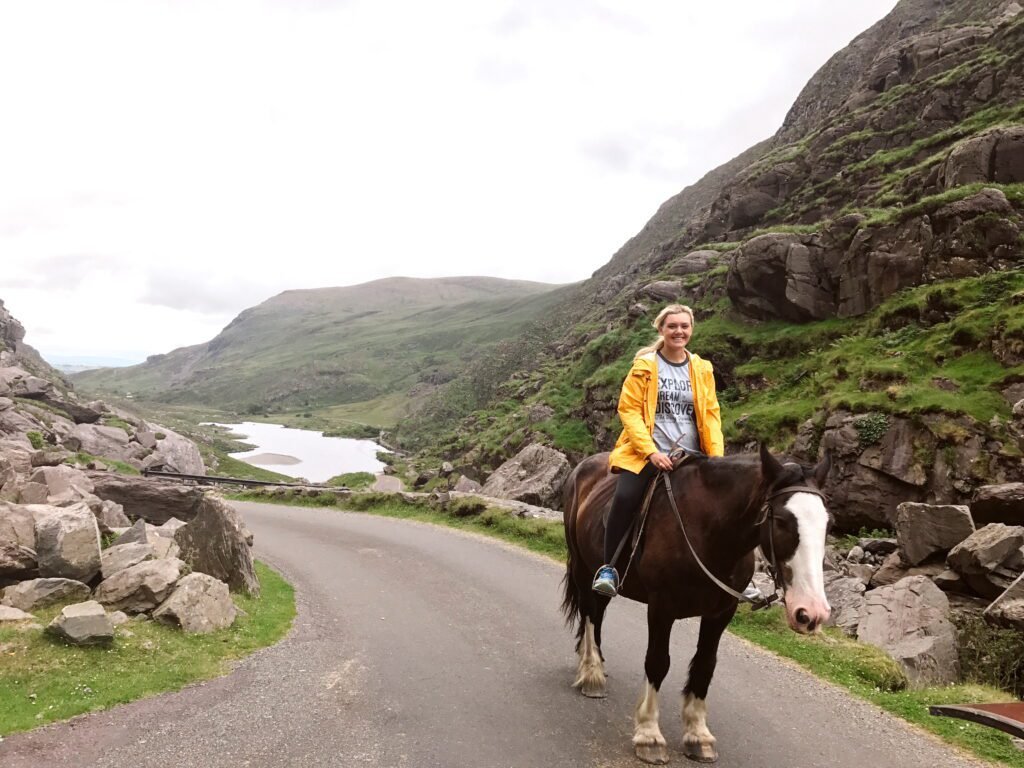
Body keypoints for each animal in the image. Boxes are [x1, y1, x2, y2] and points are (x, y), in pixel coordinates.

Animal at [561, 442, 831, 765]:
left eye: (827, 524)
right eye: (781, 521)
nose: (812, 613)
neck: (708, 528)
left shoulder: (721, 612)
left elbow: (705, 666)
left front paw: (698, 735)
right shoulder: (662, 606)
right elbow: (657, 662)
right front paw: (649, 735)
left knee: (598, 614)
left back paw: (596, 667)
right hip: (584, 568)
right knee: (591, 615)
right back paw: (591, 674)